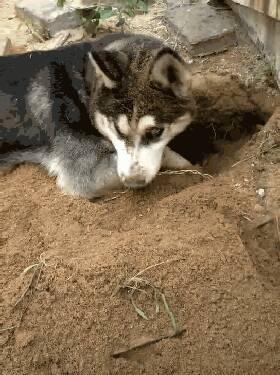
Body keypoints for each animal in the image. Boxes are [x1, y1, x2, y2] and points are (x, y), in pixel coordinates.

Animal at [0, 33, 196, 200]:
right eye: (117, 129)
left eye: (156, 132)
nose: (134, 182)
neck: (83, 86)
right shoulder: (84, 172)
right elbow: (167, 157)